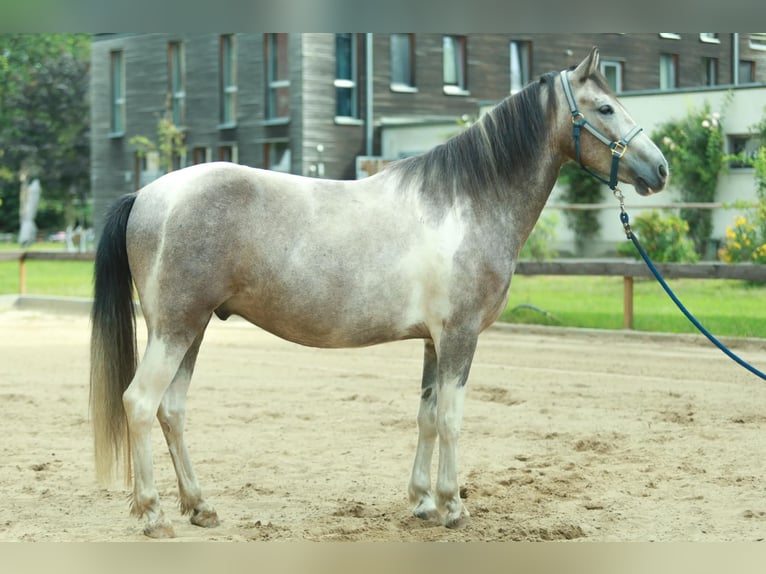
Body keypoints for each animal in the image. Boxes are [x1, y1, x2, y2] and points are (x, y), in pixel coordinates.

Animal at [90, 47, 668, 538]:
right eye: (605, 107)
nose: (660, 169)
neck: (467, 200)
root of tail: (147, 194)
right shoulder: (460, 337)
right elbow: (452, 418)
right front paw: (453, 507)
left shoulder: (434, 341)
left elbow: (428, 416)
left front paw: (422, 502)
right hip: (176, 327)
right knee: (140, 403)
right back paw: (153, 514)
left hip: (193, 329)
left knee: (172, 410)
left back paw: (200, 507)